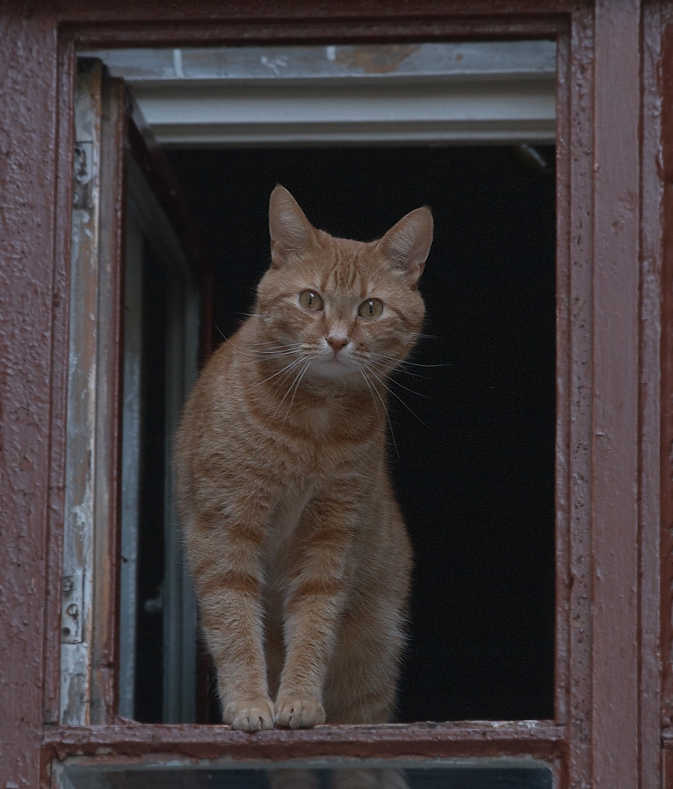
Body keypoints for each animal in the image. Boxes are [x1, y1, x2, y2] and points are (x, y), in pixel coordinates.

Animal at [176, 183, 434, 744]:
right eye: (310, 300)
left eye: (371, 308)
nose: (337, 340)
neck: (313, 426)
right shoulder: (225, 527)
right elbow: (233, 622)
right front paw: (250, 703)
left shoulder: (331, 538)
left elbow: (315, 622)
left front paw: (297, 700)